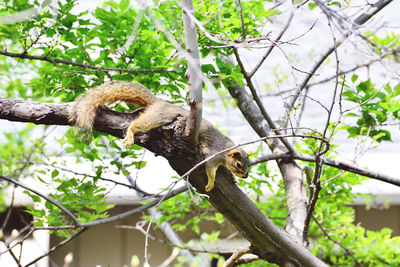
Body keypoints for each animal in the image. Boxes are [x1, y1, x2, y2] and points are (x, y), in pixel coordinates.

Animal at [69, 80, 250, 192]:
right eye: (239, 165)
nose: (246, 176)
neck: (227, 149)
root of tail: (160, 103)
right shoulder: (213, 155)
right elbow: (211, 170)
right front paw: (211, 183)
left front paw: (232, 178)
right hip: (161, 117)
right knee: (137, 124)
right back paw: (130, 134)